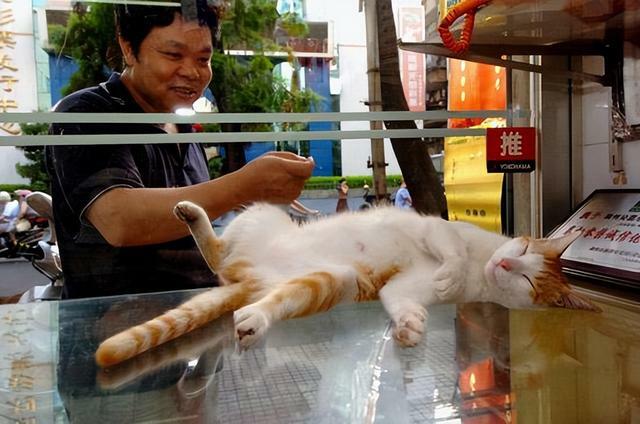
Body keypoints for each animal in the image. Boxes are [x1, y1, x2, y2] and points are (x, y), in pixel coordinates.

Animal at [95, 201, 601, 368]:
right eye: (521, 250)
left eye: (528, 281)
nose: (504, 265)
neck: (482, 268)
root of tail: (250, 274)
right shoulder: (436, 229)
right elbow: (450, 248)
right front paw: (452, 268)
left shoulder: (399, 291)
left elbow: (403, 303)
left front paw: (411, 329)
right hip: (261, 213)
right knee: (217, 250)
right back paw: (192, 213)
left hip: (330, 281)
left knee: (247, 287)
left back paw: (254, 319)